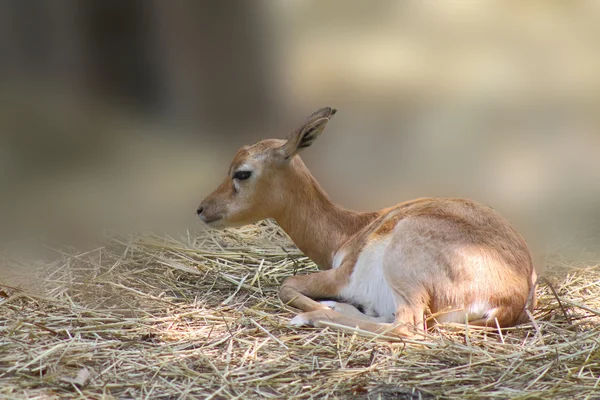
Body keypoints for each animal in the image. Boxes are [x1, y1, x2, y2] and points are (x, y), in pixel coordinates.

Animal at [198, 107, 540, 338]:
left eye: (242, 173)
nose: (202, 209)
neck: (349, 231)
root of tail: (511, 297)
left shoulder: (340, 277)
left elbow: (287, 285)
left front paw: (317, 310)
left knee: (407, 327)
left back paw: (313, 317)